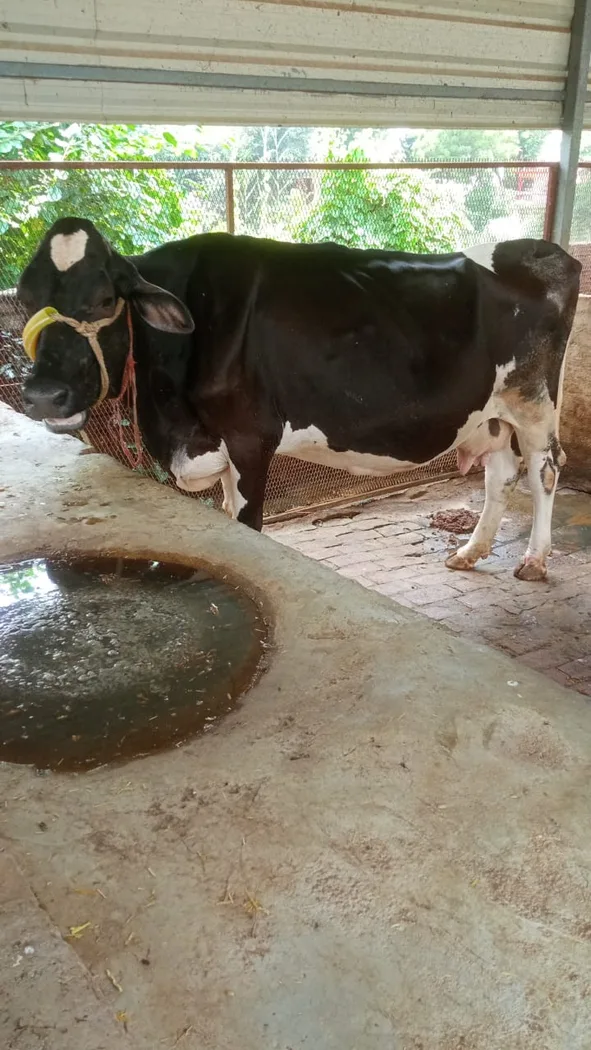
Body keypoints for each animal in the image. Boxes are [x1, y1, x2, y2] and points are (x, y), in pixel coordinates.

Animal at [18, 217, 581, 582]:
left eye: (103, 299)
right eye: (25, 299)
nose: (43, 396)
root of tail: (547, 250)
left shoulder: (250, 437)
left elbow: (247, 525)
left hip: (534, 400)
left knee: (546, 468)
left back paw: (534, 561)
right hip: (490, 412)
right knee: (500, 472)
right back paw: (470, 551)